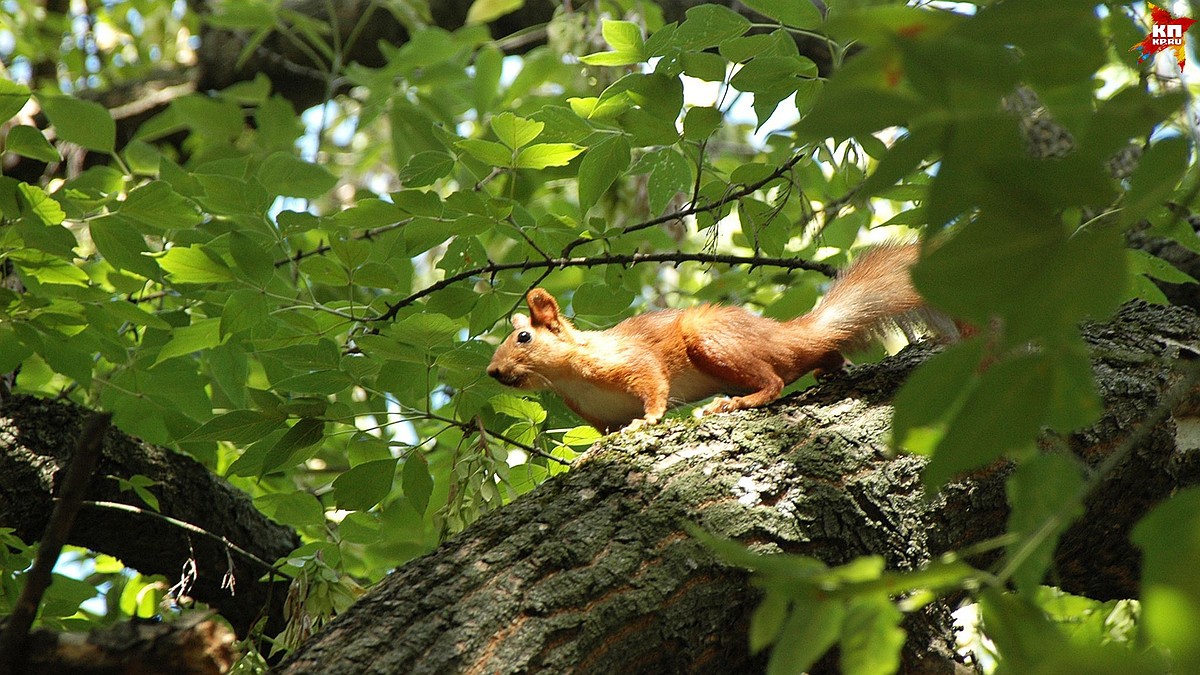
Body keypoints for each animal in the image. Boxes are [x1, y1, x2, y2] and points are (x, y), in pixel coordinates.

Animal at [482, 243, 940, 432]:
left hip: (711, 340)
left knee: (774, 381)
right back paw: (832, 368)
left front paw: (648, 420)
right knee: (820, 357)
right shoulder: (596, 416)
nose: (492, 372)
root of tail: (785, 334)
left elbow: (653, 384)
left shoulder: (628, 360)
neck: (568, 377)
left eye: (523, 337)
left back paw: (733, 403)